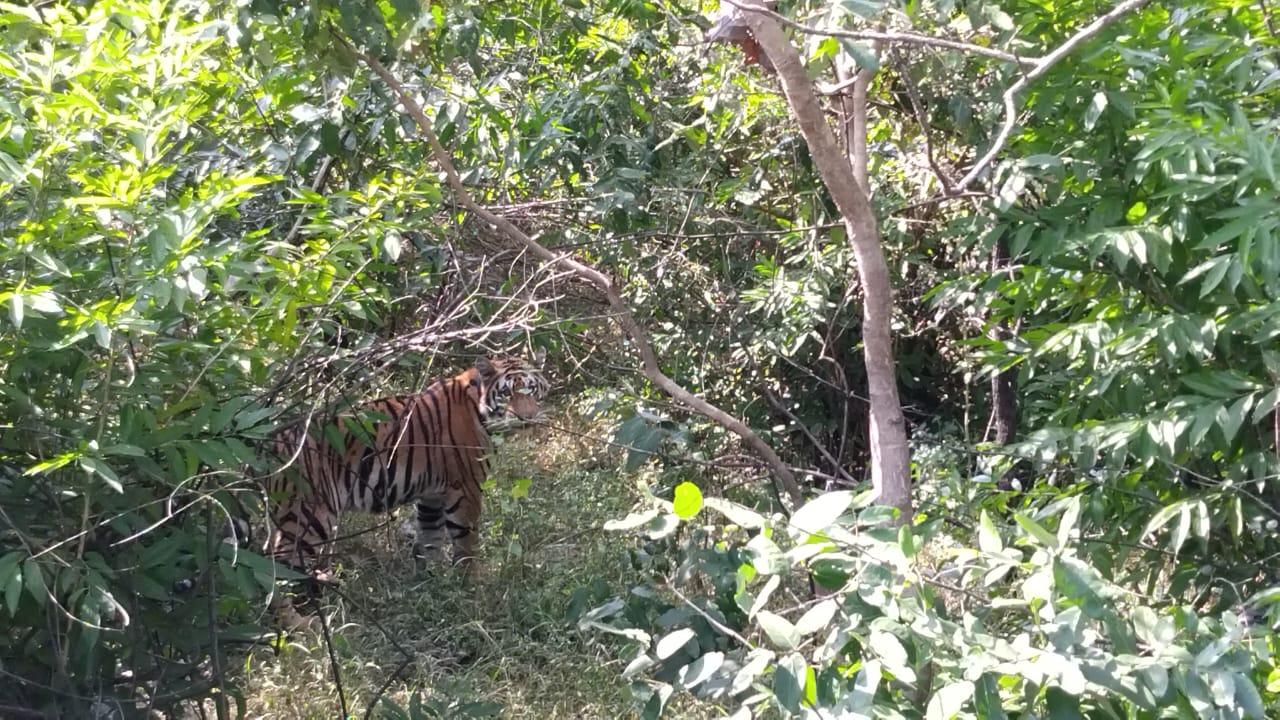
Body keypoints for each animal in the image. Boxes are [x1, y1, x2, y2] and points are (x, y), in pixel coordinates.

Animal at [263, 352, 550, 579]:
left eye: (532, 389)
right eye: (506, 393)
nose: (527, 418)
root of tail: (274, 437)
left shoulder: (432, 496)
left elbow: (429, 542)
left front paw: (433, 587)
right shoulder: (466, 488)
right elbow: (466, 544)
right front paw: (469, 587)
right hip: (310, 513)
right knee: (282, 567)